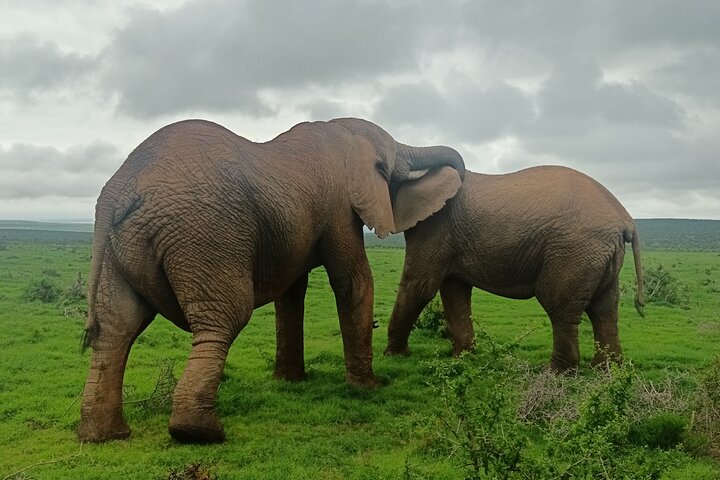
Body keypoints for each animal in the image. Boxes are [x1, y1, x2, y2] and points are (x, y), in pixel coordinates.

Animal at [78, 117, 465, 444]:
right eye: (389, 165)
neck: (341, 127)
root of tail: (117, 190)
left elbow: (292, 292)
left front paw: (291, 381)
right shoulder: (339, 207)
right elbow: (352, 281)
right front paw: (370, 387)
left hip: (119, 251)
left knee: (117, 329)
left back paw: (104, 435)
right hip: (205, 237)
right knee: (224, 319)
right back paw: (201, 433)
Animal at [384, 165, 645, 371]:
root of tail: (625, 218)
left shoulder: (433, 225)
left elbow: (419, 286)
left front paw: (395, 356)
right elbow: (454, 290)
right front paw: (463, 358)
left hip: (575, 249)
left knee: (559, 305)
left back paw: (554, 373)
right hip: (601, 254)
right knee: (604, 309)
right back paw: (606, 369)